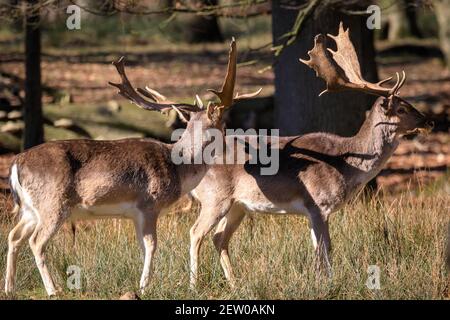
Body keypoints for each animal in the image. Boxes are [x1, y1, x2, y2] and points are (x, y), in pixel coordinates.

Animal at [3, 40, 258, 298]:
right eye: (224, 123)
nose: (237, 142)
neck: (179, 168)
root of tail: (15, 164)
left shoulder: (135, 214)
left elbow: (142, 247)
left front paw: (144, 283)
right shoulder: (149, 204)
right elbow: (152, 245)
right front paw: (144, 286)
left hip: (30, 209)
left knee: (14, 236)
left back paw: (9, 287)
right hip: (52, 204)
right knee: (36, 241)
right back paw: (52, 289)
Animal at [188, 22, 434, 288]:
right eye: (401, 109)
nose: (429, 121)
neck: (349, 166)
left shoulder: (312, 211)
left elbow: (319, 249)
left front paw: (323, 282)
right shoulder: (318, 204)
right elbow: (325, 249)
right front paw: (326, 284)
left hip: (238, 205)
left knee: (219, 237)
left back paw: (235, 283)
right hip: (215, 197)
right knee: (196, 232)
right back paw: (194, 285)